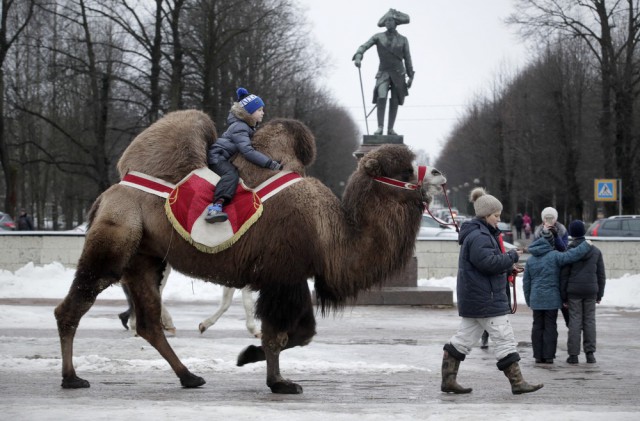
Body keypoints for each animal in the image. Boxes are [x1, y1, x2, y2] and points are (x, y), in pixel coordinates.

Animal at [53, 109, 444, 394]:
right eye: (404, 169)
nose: (439, 174)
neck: (331, 233)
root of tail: (108, 193)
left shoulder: (286, 279)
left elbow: (300, 333)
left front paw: (252, 359)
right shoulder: (283, 277)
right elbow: (282, 334)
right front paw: (277, 379)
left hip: (145, 260)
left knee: (149, 323)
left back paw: (189, 376)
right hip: (115, 239)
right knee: (74, 305)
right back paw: (72, 377)